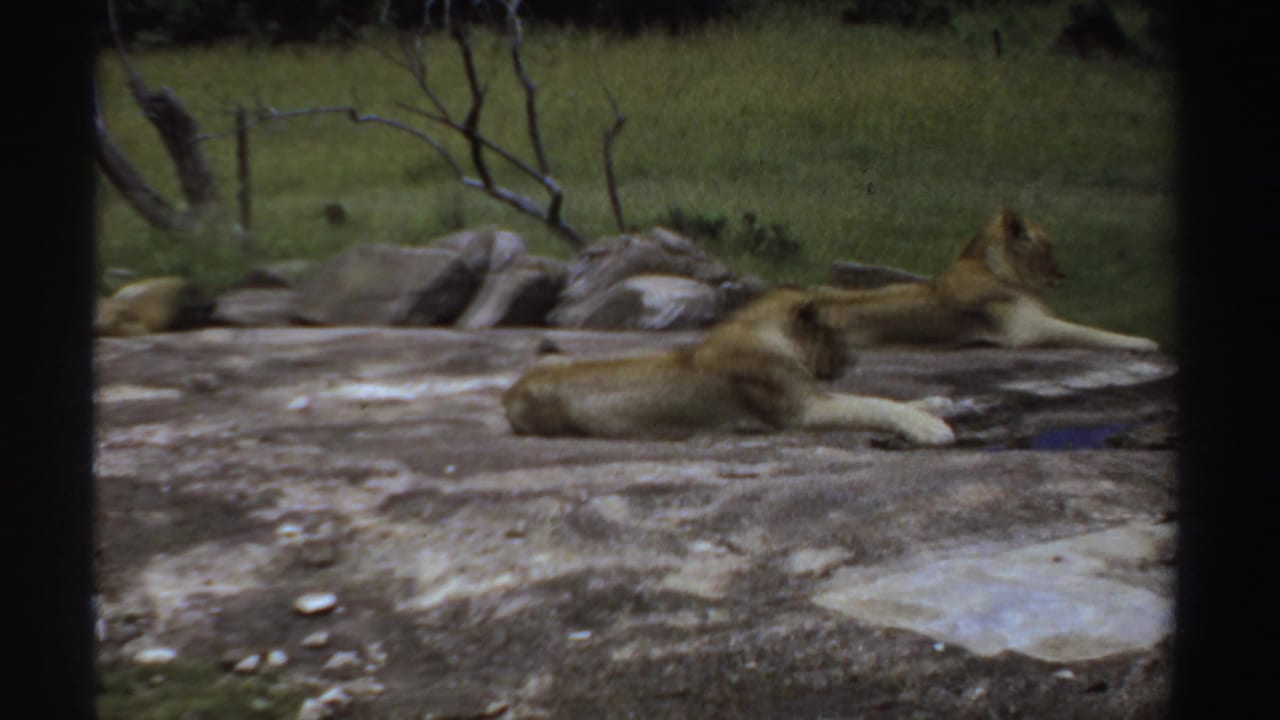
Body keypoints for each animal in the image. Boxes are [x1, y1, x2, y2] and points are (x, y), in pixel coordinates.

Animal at [502, 288, 956, 446]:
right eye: (835, 335)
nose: (853, 359)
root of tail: (511, 390)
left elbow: (885, 397)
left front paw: (939, 403)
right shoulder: (802, 411)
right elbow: (874, 404)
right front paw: (931, 428)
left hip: (560, 354)